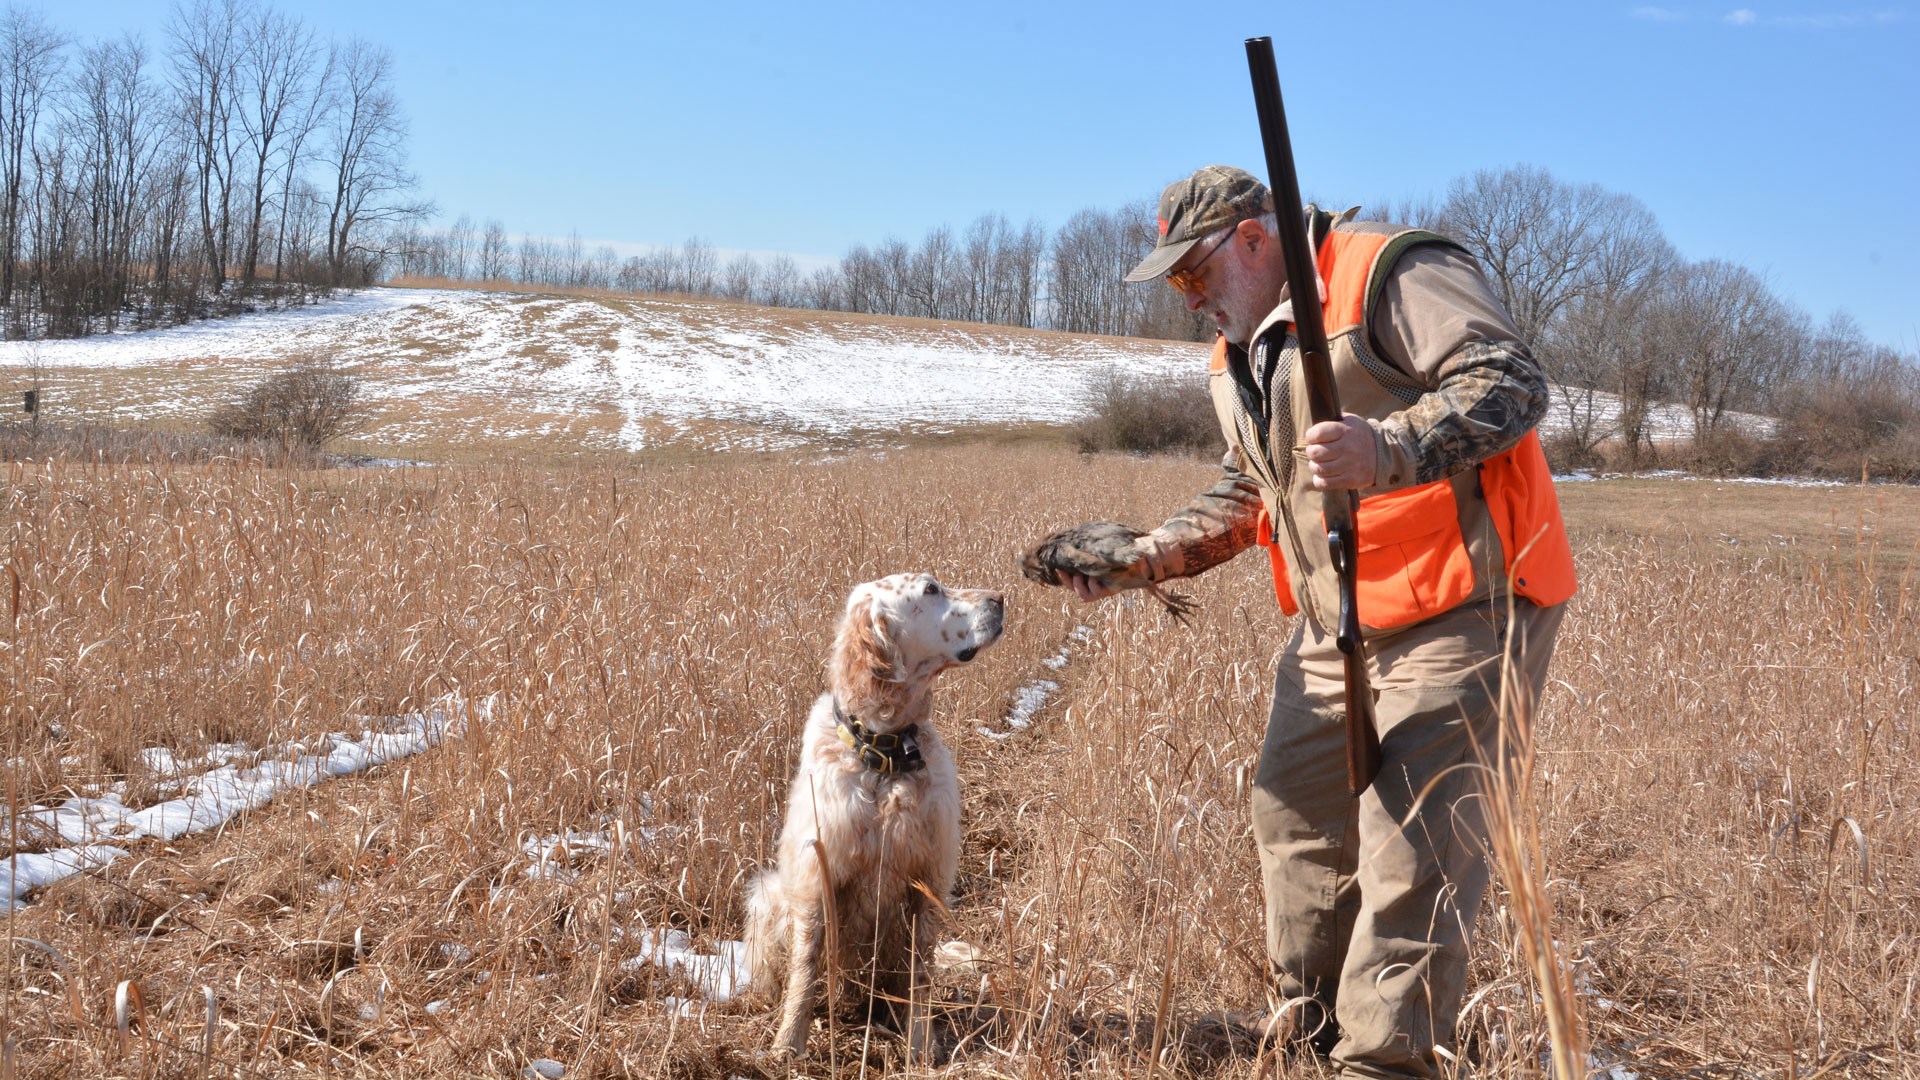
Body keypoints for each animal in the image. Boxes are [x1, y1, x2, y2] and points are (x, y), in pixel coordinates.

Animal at [741, 576, 1006, 1053]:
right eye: (931, 588)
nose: (1001, 598)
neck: (886, 757)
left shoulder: (927, 883)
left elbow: (921, 976)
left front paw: (922, 1045)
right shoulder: (817, 880)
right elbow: (805, 972)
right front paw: (789, 1043)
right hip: (768, 894)